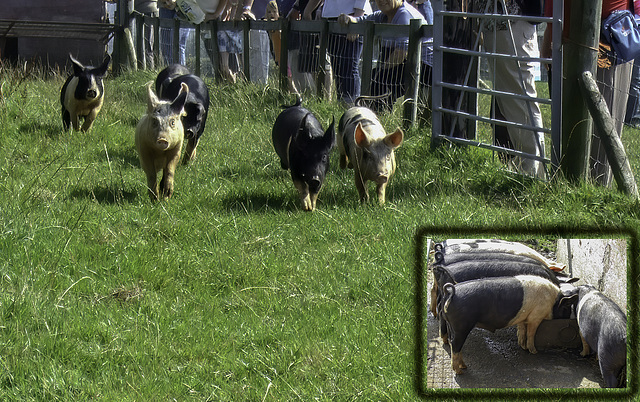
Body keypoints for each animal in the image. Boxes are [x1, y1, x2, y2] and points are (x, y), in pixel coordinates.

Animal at [438, 274, 576, 376]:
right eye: (566, 308)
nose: (572, 318)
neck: (553, 301)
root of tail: (450, 293)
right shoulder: (536, 317)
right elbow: (531, 333)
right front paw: (534, 351)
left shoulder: (524, 318)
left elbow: (522, 331)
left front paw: (523, 346)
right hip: (461, 326)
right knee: (456, 345)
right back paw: (460, 372)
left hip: (451, 325)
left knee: (454, 344)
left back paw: (464, 366)